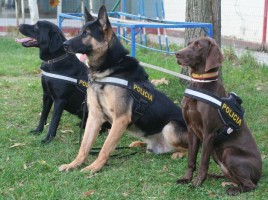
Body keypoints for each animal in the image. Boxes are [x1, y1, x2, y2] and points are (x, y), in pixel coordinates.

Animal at [176, 37, 262, 195]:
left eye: (198, 45)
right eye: (189, 43)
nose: (177, 54)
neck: (200, 83)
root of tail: (260, 174)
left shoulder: (209, 133)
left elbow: (203, 162)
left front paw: (197, 183)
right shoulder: (191, 130)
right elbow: (191, 160)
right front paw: (187, 178)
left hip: (229, 153)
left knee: (250, 185)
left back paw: (233, 190)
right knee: (231, 177)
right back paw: (215, 177)